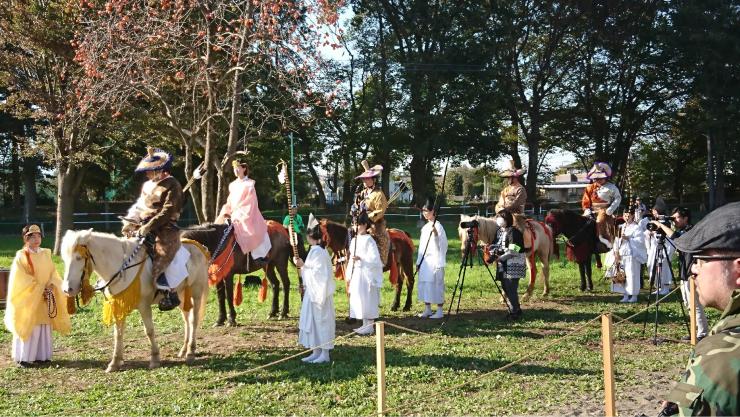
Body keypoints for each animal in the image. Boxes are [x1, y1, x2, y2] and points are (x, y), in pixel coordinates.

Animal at [59, 229, 211, 372]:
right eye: (64, 259)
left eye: (79, 258)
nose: (67, 289)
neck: (122, 267)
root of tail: (200, 248)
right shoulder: (118, 306)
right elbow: (118, 334)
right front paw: (115, 362)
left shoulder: (144, 306)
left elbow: (149, 331)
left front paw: (155, 359)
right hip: (182, 294)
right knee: (186, 320)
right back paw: (184, 350)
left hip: (196, 292)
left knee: (193, 321)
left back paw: (190, 353)